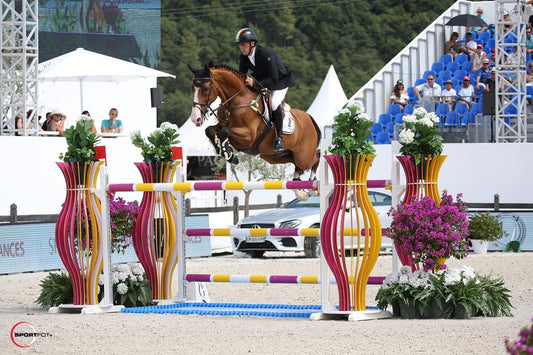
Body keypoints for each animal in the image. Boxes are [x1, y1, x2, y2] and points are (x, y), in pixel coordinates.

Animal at [187, 64, 320, 188]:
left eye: (205, 88)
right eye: (192, 88)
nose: (195, 118)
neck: (237, 100)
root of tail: (310, 119)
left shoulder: (249, 136)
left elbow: (224, 131)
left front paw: (228, 153)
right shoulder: (222, 124)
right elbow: (209, 130)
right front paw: (225, 152)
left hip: (303, 156)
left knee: (316, 157)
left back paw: (313, 180)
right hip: (274, 156)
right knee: (297, 164)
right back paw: (297, 181)